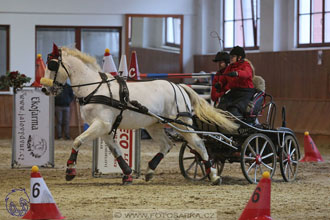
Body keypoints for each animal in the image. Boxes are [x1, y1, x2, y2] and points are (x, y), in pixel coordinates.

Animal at [41, 44, 238, 186]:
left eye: (52, 65)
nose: (44, 89)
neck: (94, 88)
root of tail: (179, 86)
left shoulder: (102, 124)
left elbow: (77, 141)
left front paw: (70, 171)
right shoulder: (104, 129)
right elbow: (116, 150)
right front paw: (128, 174)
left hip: (181, 123)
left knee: (198, 144)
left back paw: (213, 176)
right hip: (155, 125)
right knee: (167, 145)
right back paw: (150, 171)